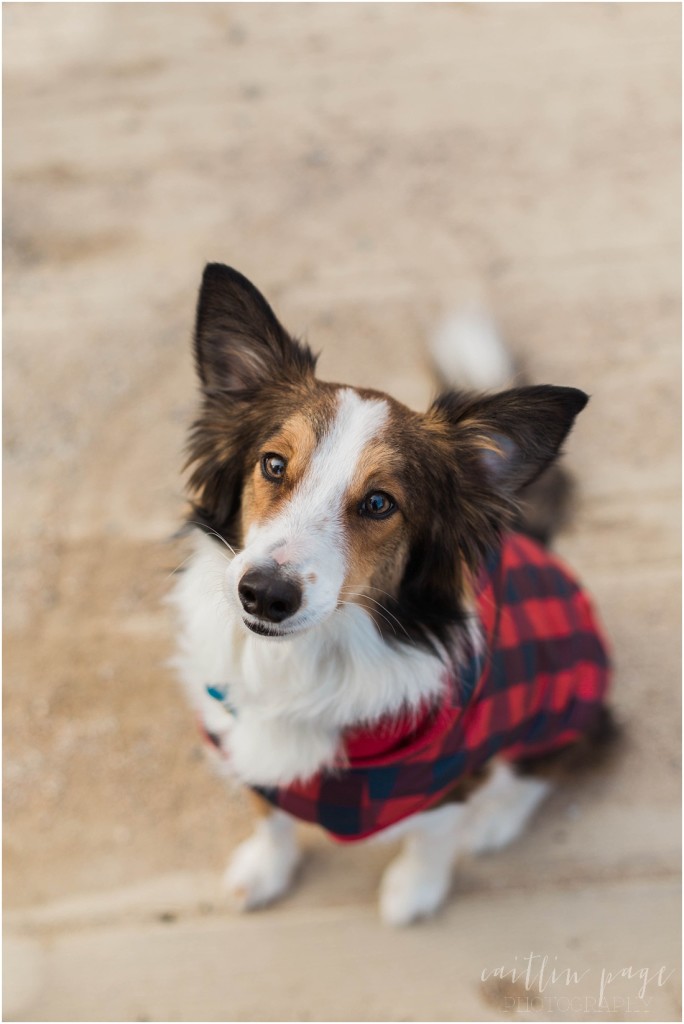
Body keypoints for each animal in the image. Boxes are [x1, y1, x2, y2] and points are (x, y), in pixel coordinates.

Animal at [172, 262, 614, 929]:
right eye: (272, 464)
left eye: (380, 503)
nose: (263, 595)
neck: (303, 660)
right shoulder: (241, 737)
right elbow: (269, 811)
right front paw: (266, 868)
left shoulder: (451, 767)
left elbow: (433, 833)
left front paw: (415, 889)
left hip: (568, 698)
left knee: (559, 757)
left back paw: (495, 819)